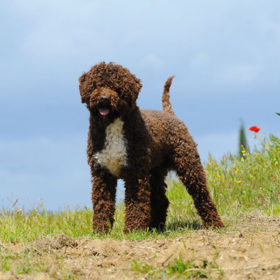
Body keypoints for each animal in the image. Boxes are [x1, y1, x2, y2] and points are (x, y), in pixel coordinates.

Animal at [79, 62, 225, 233]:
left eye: (116, 86)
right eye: (96, 85)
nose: (103, 99)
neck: (112, 124)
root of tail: (171, 114)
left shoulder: (135, 171)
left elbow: (136, 202)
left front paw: (133, 229)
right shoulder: (102, 172)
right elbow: (102, 203)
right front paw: (101, 231)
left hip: (188, 164)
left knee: (202, 195)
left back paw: (214, 223)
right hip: (155, 172)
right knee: (161, 200)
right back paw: (155, 227)